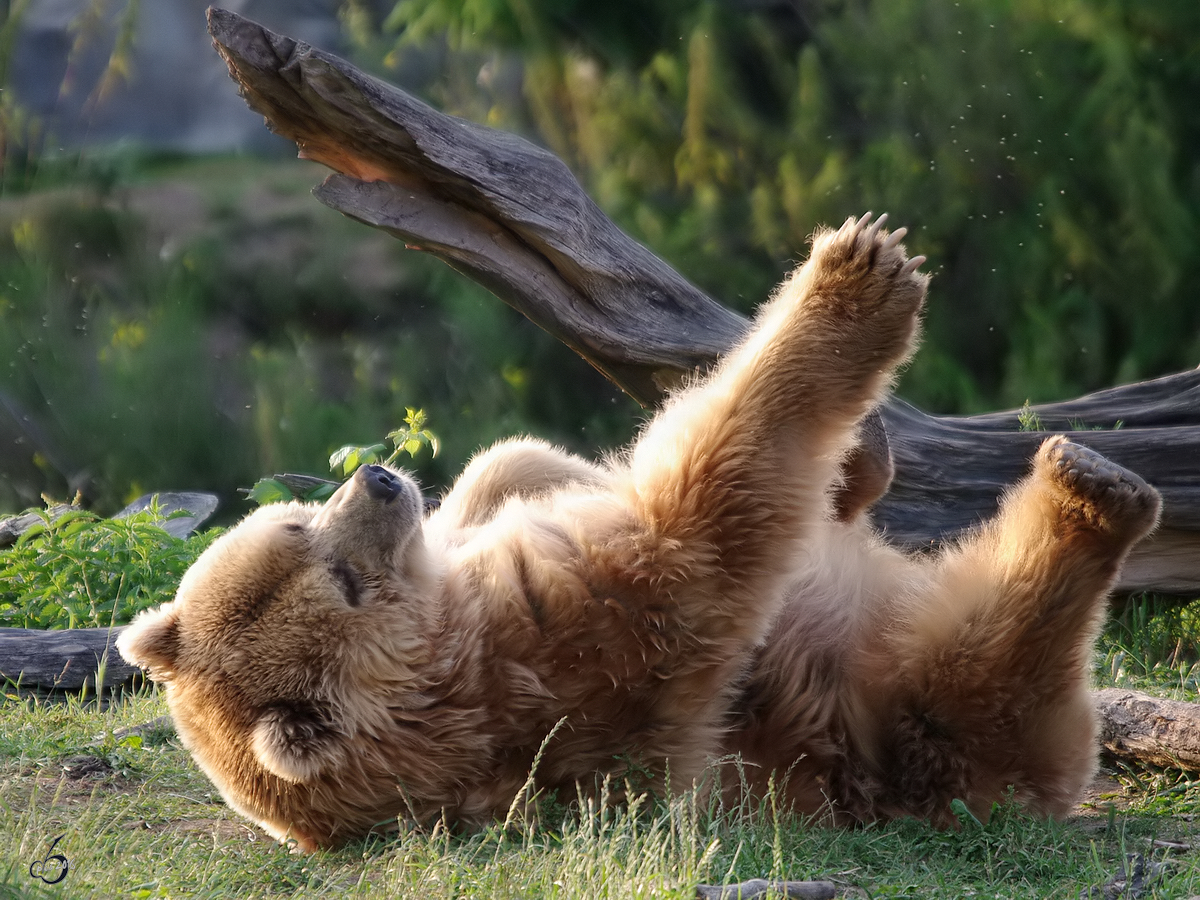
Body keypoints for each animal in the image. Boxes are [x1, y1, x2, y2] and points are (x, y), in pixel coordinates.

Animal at [117, 213, 1156, 854]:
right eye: (342, 582)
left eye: (297, 524)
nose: (376, 481)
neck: (448, 643)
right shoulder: (561, 645)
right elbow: (699, 515)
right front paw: (862, 271)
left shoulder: (494, 562)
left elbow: (515, 466)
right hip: (916, 721)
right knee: (990, 660)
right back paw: (1091, 492)